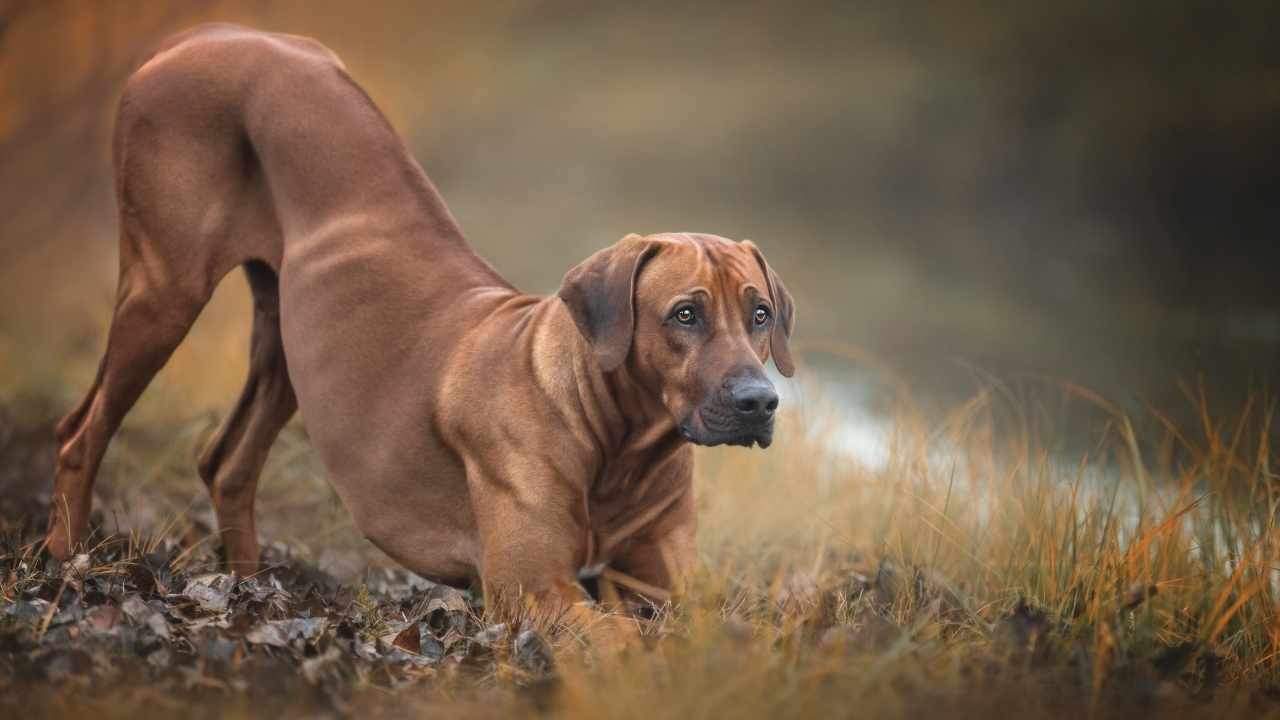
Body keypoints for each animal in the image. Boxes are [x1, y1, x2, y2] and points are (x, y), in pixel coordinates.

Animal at [45, 25, 793, 609]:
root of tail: (205, 35)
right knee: (80, 433)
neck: (619, 443)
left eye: (759, 313)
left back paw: (248, 587)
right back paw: (64, 562)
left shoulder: (667, 589)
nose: (760, 402)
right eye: (685, 314)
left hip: (295, 344)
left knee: (227, 462)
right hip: (165, 289)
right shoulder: (534, 589)